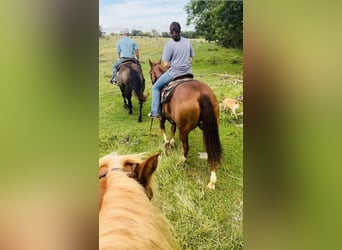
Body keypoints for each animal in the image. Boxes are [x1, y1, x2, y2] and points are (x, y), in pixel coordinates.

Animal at [148, 60, 223, 189]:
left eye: (149, 72)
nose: (153, 82)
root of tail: (200, 92)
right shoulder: (174, 120)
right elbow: (172, 128)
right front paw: (172, 142)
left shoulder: (162, 116)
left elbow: (163, 128)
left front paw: (167, 142)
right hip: (210, 127)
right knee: (211, 148)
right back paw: (212, 180)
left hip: (184, 130)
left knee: (186, 146)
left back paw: (182, 160)